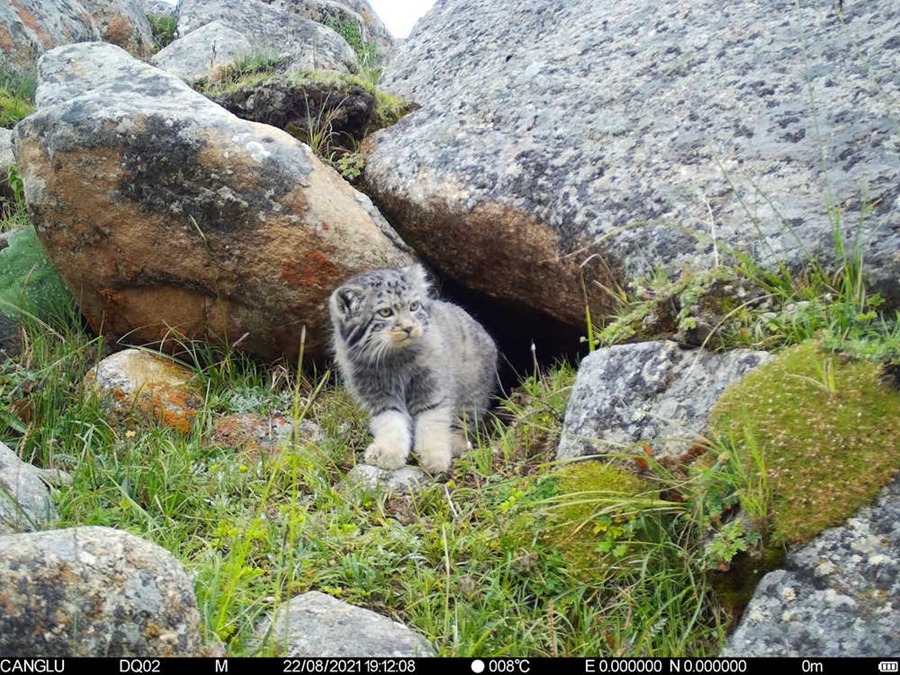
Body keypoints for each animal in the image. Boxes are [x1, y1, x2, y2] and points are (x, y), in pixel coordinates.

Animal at [330, 266, 500, 476]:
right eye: (385, 312)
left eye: (413, 306)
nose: (409, 327)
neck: (394, 360)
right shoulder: (380, 397)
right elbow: (391, 424)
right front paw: (390, 453)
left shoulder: (431, 389)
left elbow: (431, 423)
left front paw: (436, 457)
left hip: (472, 391)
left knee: (464, 422)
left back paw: (455, 444)